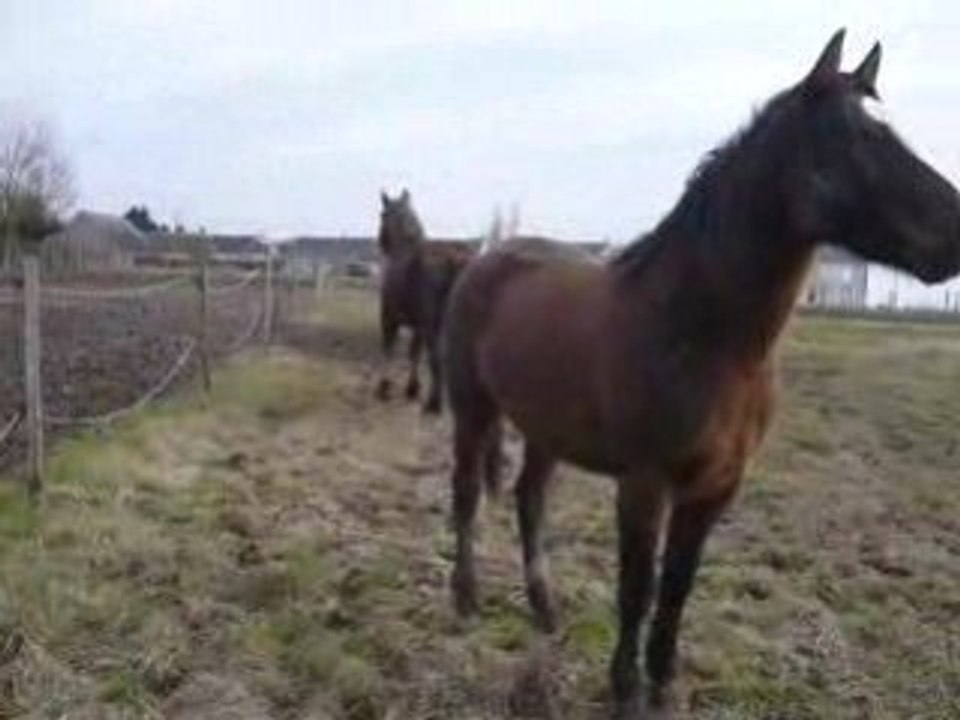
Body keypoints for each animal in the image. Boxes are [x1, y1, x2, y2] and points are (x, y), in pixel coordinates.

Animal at [375, 189, 475, 414]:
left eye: (382, 214)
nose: (380, 241)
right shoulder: (418, 325)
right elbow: (414, 352)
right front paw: (412, 388)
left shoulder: (389, 318)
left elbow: (388, 349)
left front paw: (384, 388)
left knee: (437, 357)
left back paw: (434, 403)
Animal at [442, 30, 960, 718]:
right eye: (857, 140)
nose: (956, 235)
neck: (703, 333)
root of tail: (485, 258)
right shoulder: (645, 484)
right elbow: (638, 587)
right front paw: (626, 690)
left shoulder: (717, 488)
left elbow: (678, 587)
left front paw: (664, 685)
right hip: (472, 408)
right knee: (466, 494)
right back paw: (467, 599)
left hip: (546, 427)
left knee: (530, 500)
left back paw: (546, 611)